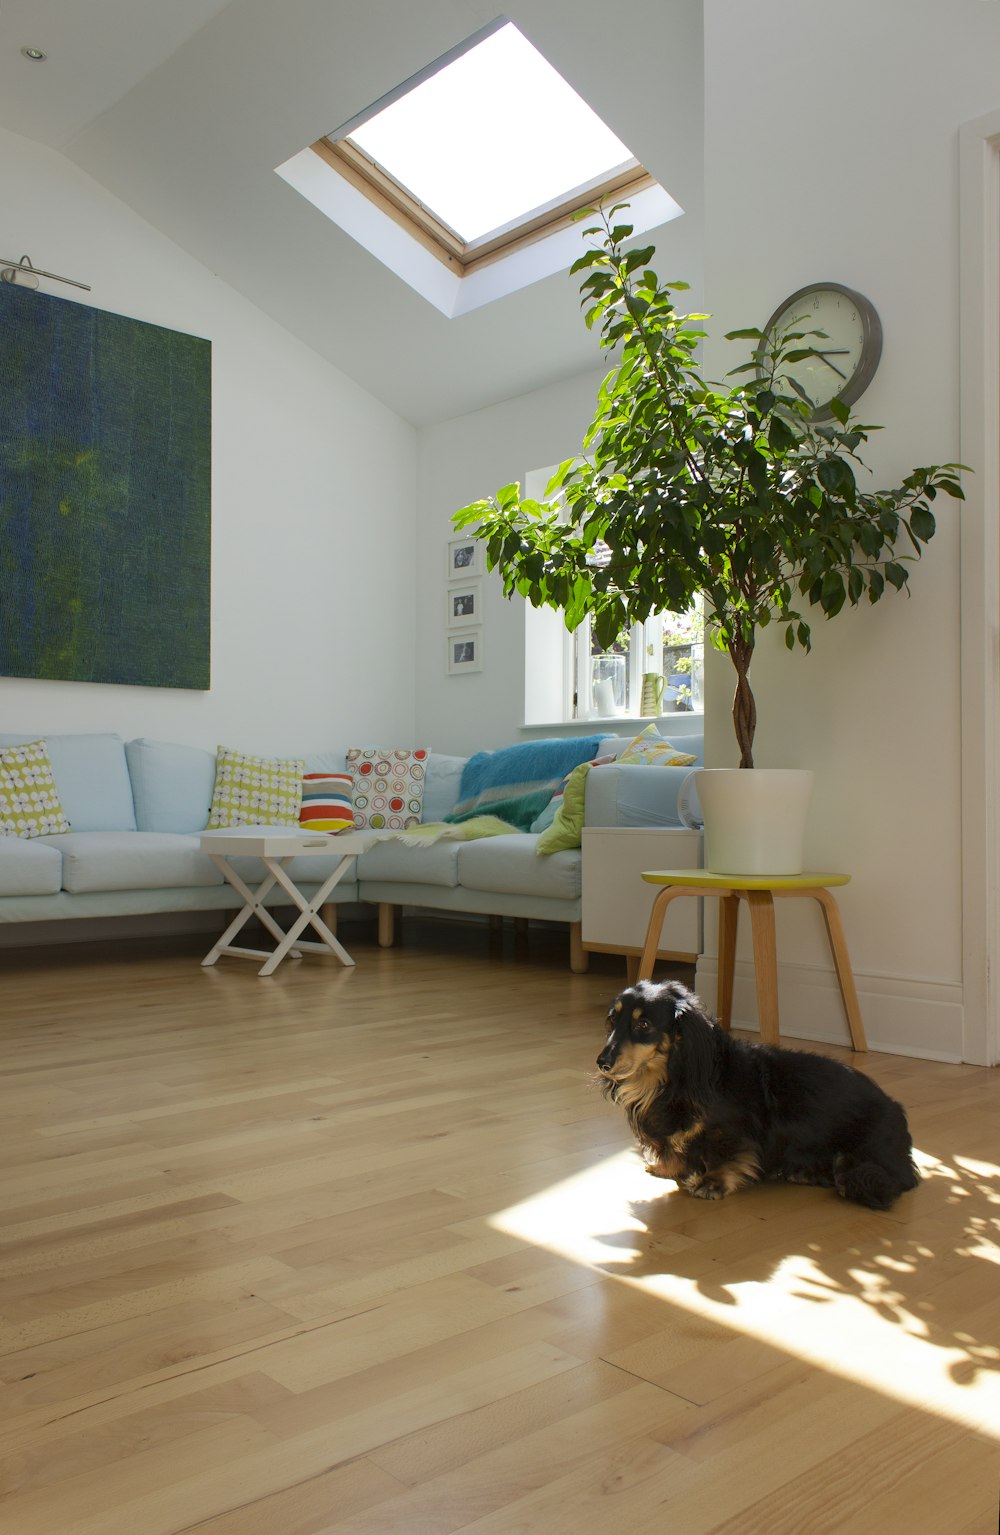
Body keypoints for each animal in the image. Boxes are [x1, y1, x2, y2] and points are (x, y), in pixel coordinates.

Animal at [599, 982, 921, 1209]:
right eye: (612, 1020)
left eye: (643, 1025)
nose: (602, 1063)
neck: (671, 1080)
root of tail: (896, 1108)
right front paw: (667, 1167)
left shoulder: (730, 1132)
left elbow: (724, 1156)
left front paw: (711, 1183)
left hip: (863, 1156)